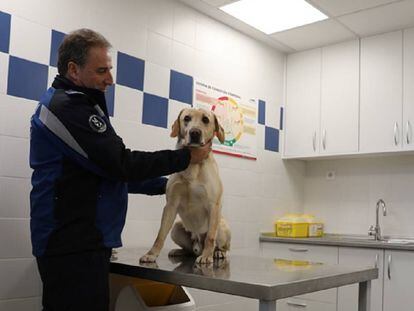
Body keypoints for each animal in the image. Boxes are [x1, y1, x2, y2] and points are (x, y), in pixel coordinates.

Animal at [138, 108, 230, 264]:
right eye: (187, 118)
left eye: (205, 119)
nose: (194, 133)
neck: (192, 165)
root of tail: (198, 243)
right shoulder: (171, 205)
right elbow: (160, 235)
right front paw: (152, 254)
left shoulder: (214, 206)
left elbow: (210, 237)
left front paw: (206, 256)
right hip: (176, 228)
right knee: (189, 251)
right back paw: (179, 251)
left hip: (222, 227)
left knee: (217, 243)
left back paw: (217, 252)